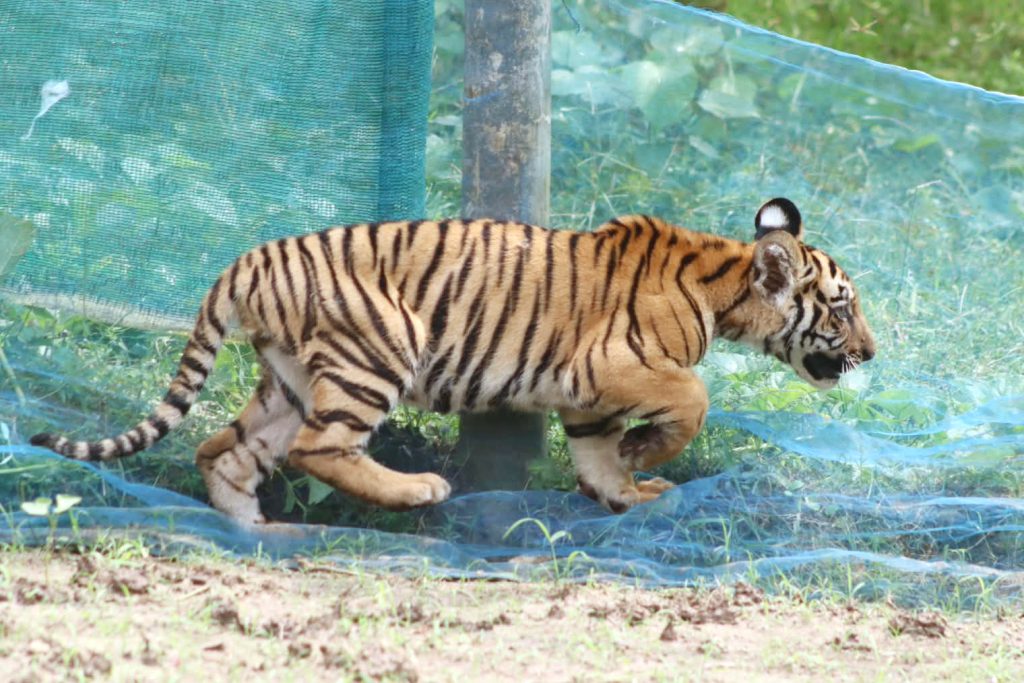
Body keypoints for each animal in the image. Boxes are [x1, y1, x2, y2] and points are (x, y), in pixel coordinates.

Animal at [31, 197, 875, 524]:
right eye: (841, 308)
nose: (871, 351)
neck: (724, 284)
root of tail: (247, 259)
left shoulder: (587, 397)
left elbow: (598, 456)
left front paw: (629, 489)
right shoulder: (607, 365)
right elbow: (693, 396)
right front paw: (647, 454)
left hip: (289, 379)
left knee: (223, 448)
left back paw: (257, 532)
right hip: (376, 348)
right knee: (318, 448)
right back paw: (416, 492)